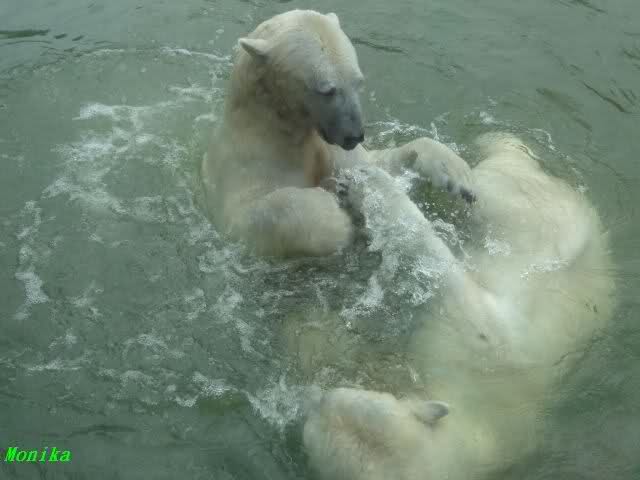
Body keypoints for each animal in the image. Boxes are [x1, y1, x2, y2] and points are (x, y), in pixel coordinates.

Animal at [201, 9, 473, 257]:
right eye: (327, 90)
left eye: (358, 81)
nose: (354, 135)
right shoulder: (242, 170)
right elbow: (256, 211)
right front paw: (338, 214)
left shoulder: (330, 149)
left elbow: (373, 164)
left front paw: (456, 176)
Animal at [301, 133, 615, 480]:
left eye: (327, 402)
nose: (312, 395)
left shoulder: (480, 341)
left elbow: (448, 279)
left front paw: (369, 193)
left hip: (522, 207)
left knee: (482, 196)